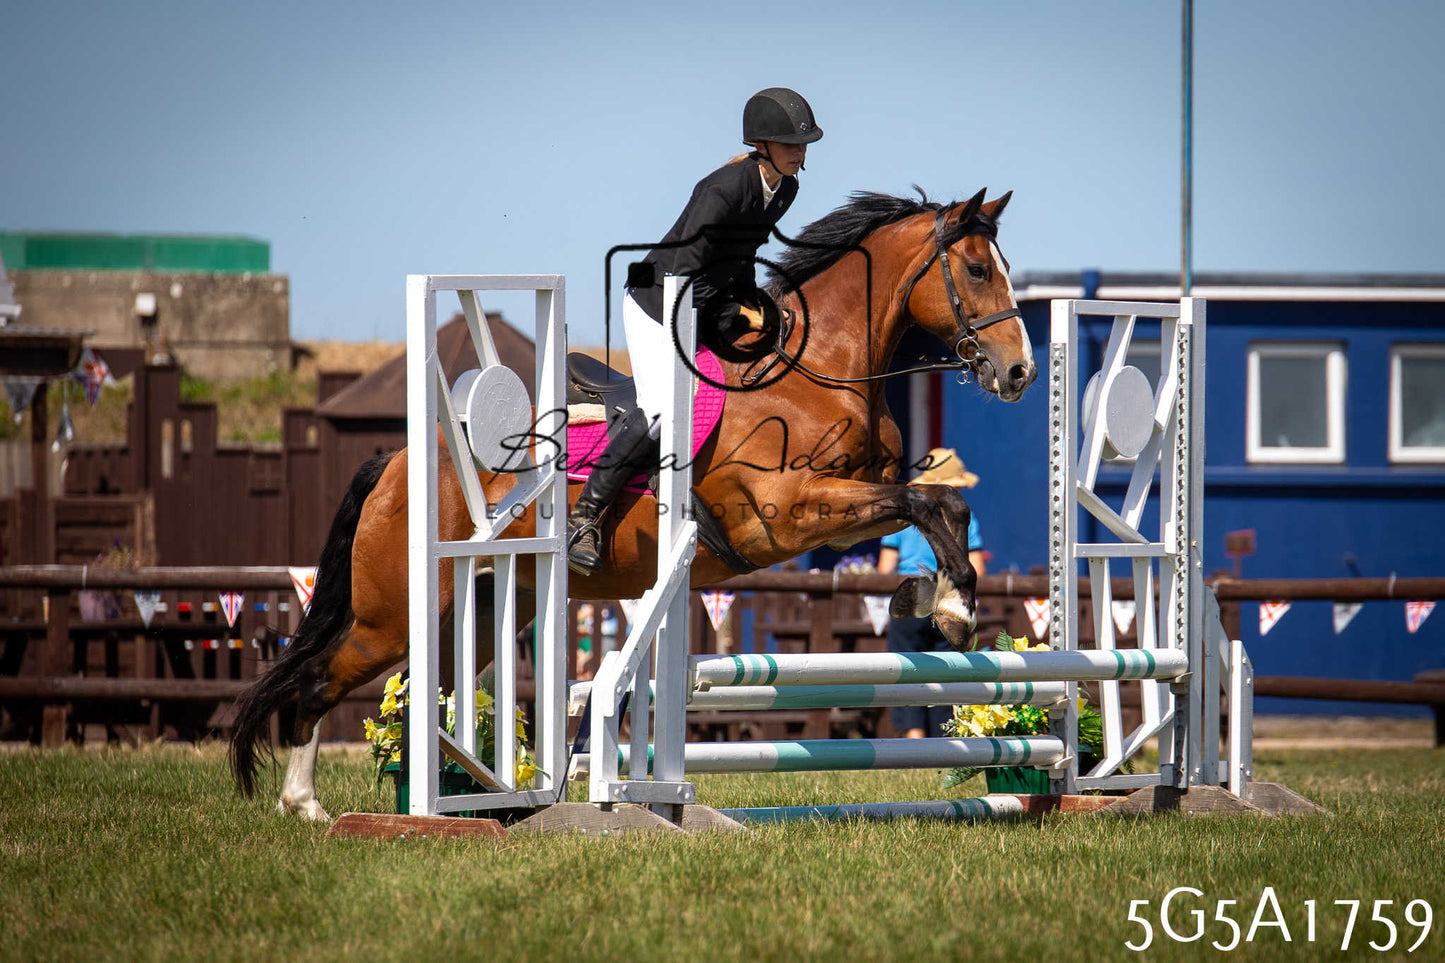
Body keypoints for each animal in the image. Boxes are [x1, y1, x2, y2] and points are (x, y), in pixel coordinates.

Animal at [231, 187, 1037, 819]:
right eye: (975, 270)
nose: (1021, 372)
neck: (817, 369)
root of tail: (394, 463)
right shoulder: (787, 512)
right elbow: (927, 497)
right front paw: (952, 608)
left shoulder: (838, 511)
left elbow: (933, 504)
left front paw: (929, 597)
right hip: (393, 614)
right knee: (316, 682)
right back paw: (307, 805)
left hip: (487, 609)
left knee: (437, 695)